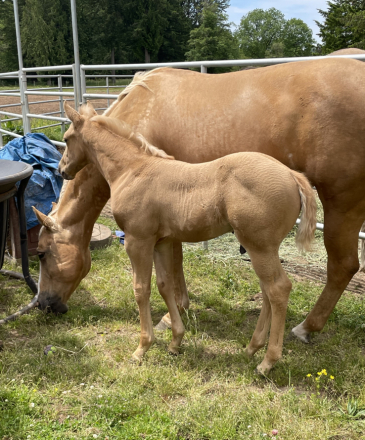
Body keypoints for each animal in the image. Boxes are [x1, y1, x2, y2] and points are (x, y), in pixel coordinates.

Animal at [35, 55, 364, 344]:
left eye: (41, 253)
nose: (43, 304)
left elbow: (173, 264)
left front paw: (171, 316)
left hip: (342, 203)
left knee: (342, 266)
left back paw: (305, 328)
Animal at [52, 102, 316, 374]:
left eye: (66, 138)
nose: (61, 170)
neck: (132, 169)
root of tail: (292, 175)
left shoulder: (138, 241)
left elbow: (141, 289)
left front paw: (142, 348)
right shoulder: (162, 242)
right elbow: (165, 286)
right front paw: (175, 341)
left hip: (260, 247)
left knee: (278, 289)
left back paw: (267, 361)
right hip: (261, 249)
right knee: (267, 291)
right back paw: (252, 347)